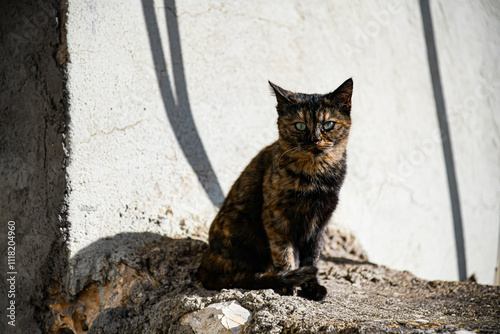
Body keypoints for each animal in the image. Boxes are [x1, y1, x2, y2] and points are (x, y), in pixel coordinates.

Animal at [197, 77, 354, 300]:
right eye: (300, 126)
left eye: (328, 124)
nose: (315, 140)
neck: (315, 176)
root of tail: (204, 265)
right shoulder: (275, 216)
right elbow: (283, 251)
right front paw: (289, 283)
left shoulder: (320, 221)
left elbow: (312, 256)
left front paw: (312, 286)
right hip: (237, 221)